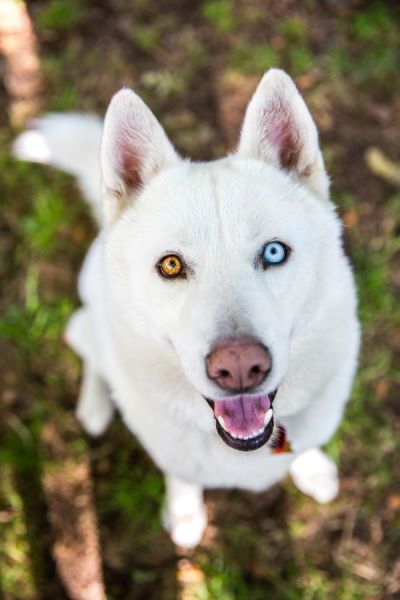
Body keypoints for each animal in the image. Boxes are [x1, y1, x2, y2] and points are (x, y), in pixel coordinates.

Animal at [14, 68, 360, 548]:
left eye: (273, 253)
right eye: (171, 265)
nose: (239, 367)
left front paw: (311, 468)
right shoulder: (171, 453)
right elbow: (181, 476)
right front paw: (184, 514)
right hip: (91, 319)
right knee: (85, 343)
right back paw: (96, 406)